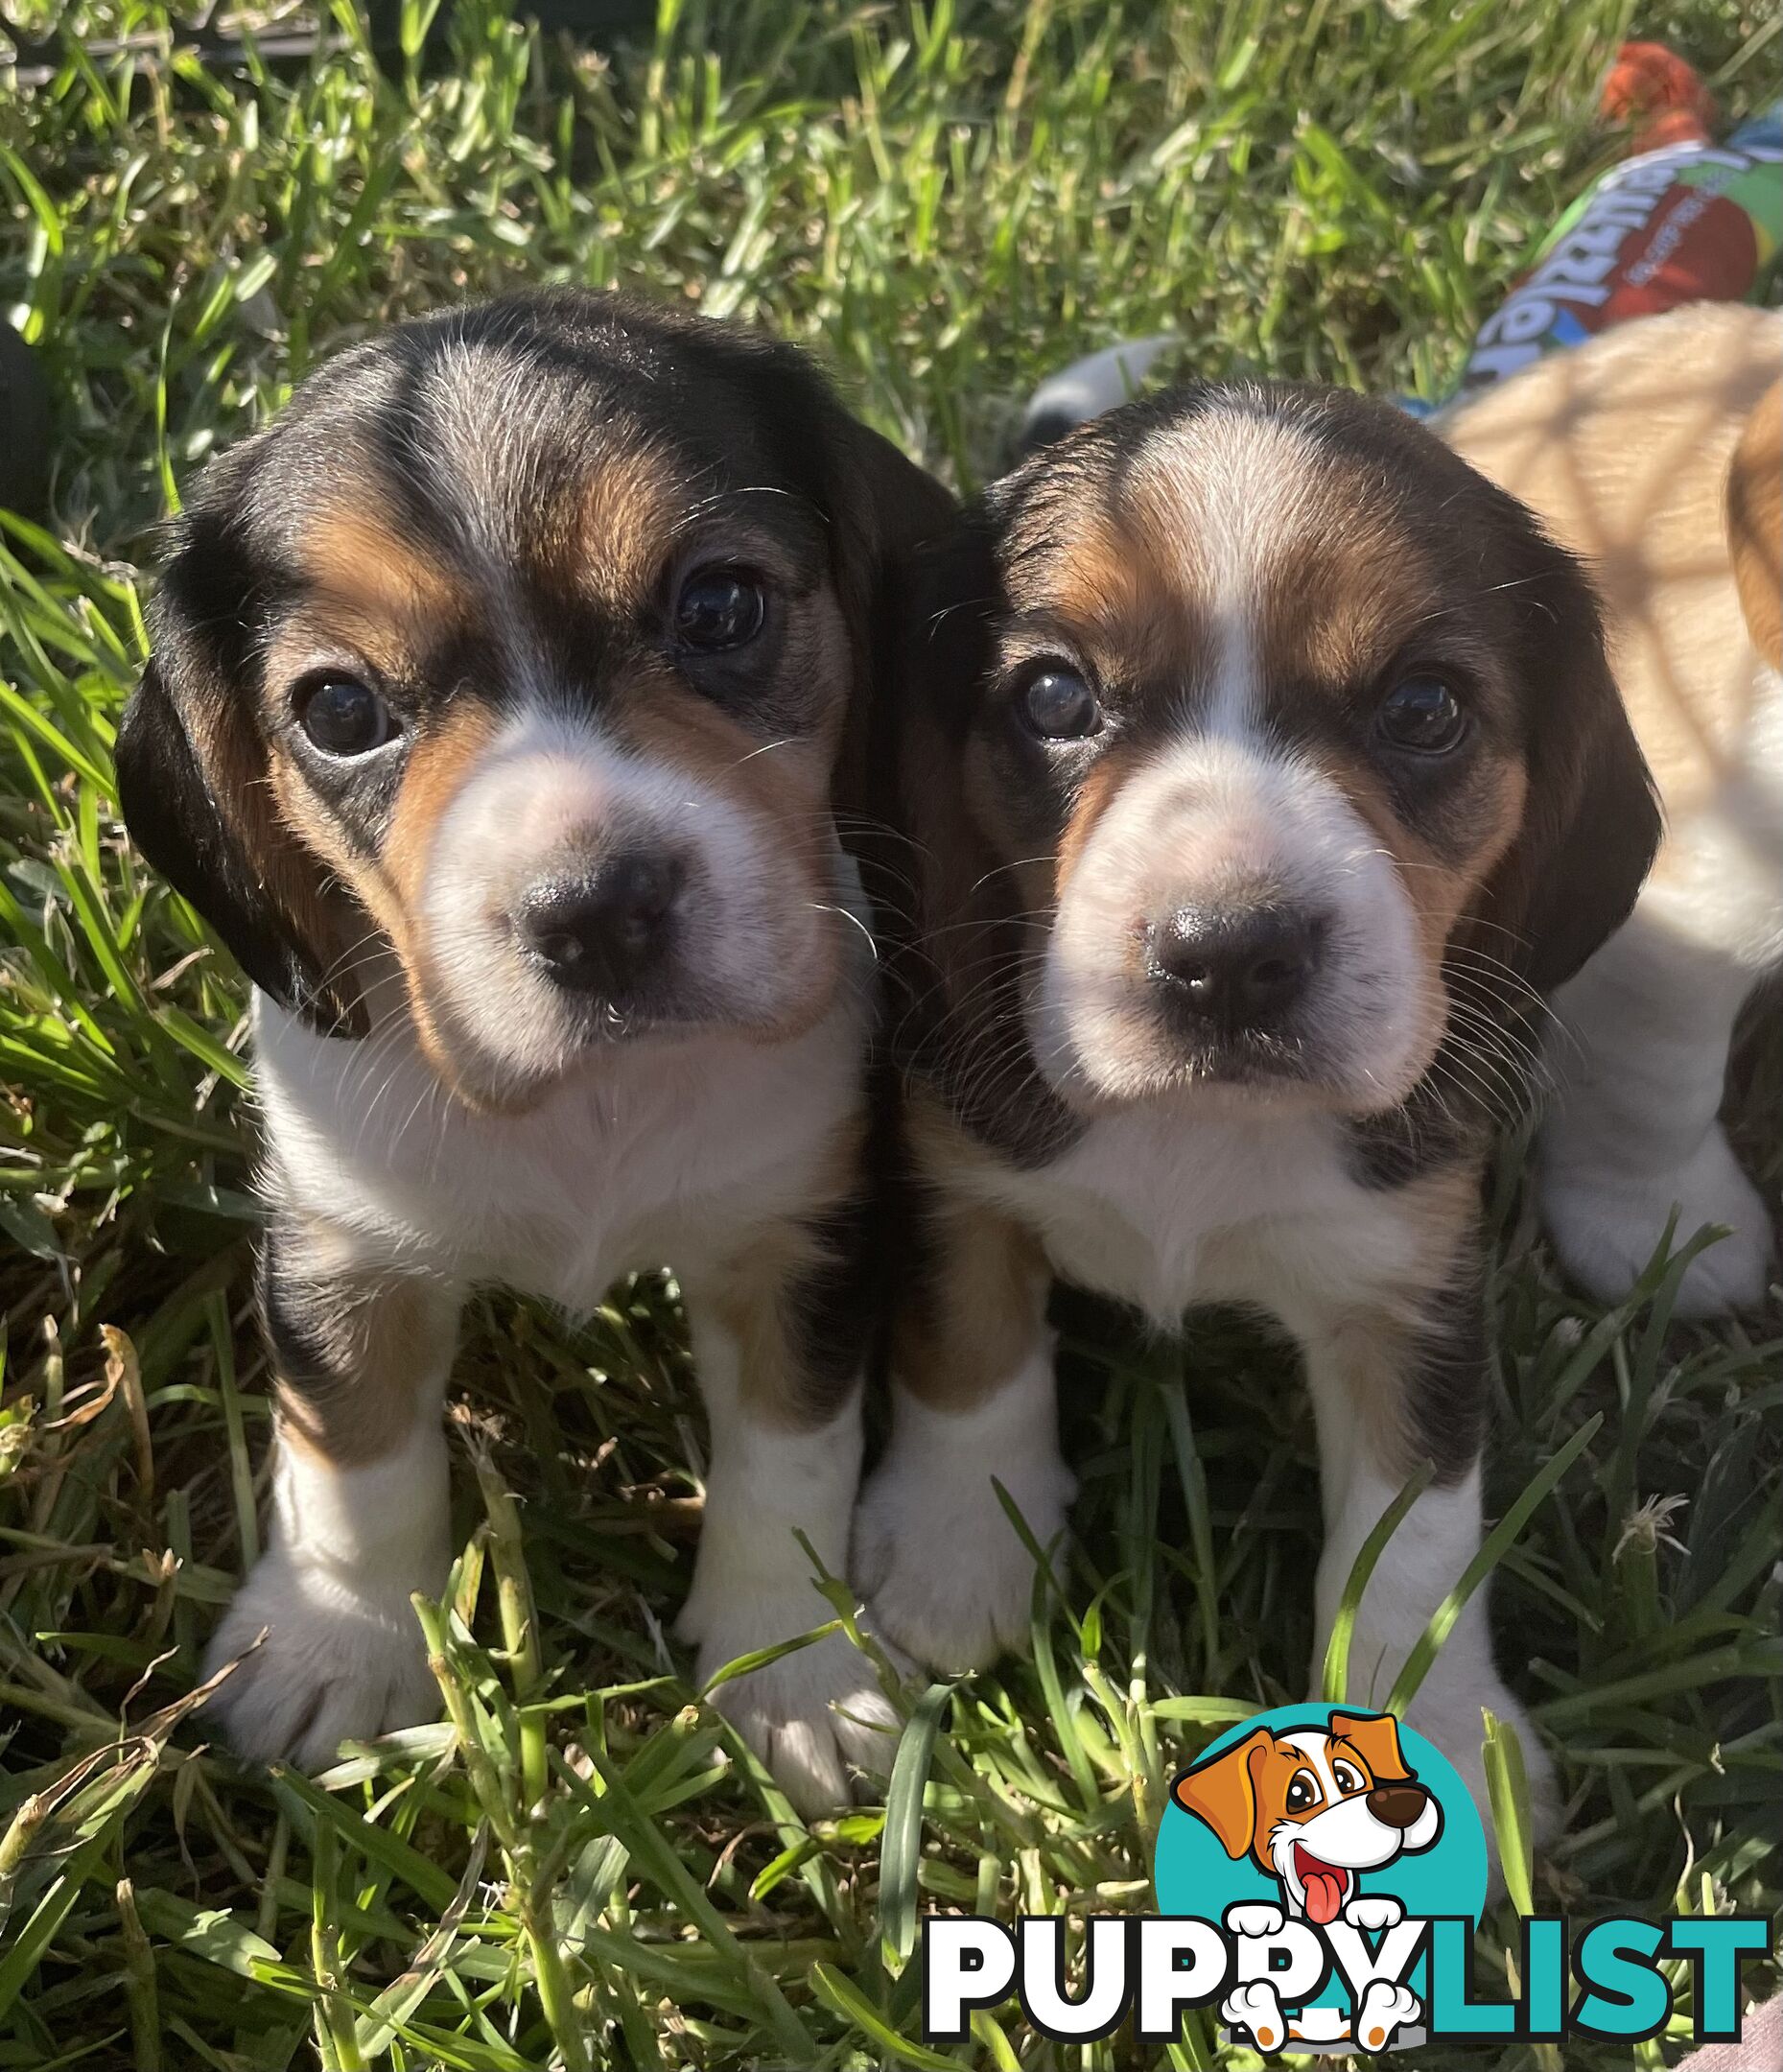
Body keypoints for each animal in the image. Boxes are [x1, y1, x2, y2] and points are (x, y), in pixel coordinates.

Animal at [114, 292, 944, 1815]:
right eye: (337, 712)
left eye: (719, 606)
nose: (597, 912)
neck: (598, 1104)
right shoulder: (341, 1249)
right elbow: (353, 1458)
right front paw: (336, 1644)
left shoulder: (799, 1235)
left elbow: (789, 1456)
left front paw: (790, 1667)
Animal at [861, 377, 1656, 1831]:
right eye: (1052, 693)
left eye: (1423, 707)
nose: (1225, 955)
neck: (1203, 1125)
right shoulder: (952, 1172)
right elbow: (967, 1351)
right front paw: (956, 1554)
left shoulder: (1412, 1288)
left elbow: (1413, 1533)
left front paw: (1426, 1728)